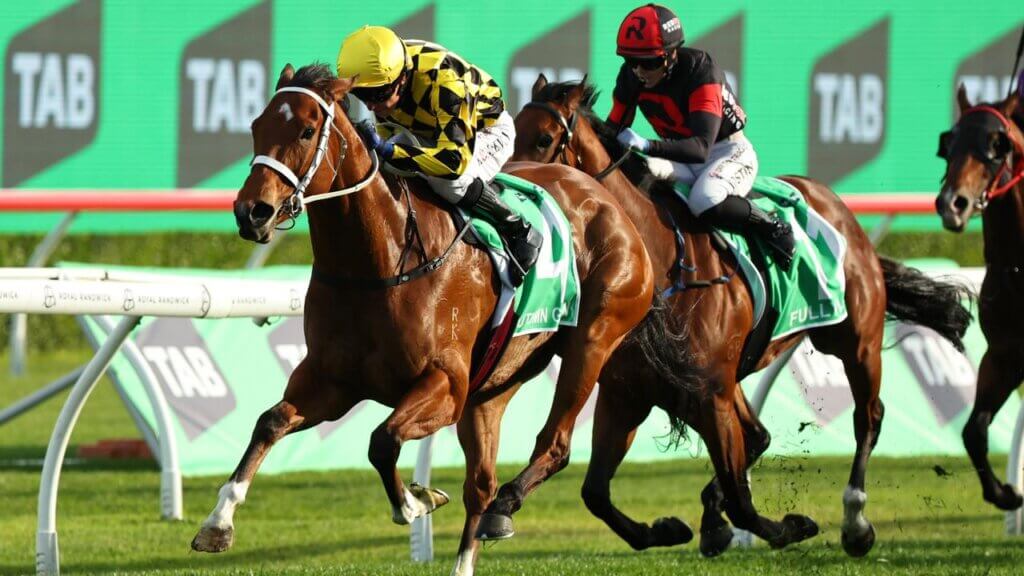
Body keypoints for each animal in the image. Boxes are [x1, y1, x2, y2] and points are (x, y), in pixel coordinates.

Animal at [187, 63, 695, 576]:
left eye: (308, 130)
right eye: (256, 126)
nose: (252, 212)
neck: (380, 260)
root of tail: (605, 198)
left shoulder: (445, 384)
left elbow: (382, 440)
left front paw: (417, 501)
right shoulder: (332, 380)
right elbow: (269, 422)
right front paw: (217, 523)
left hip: (592, 340)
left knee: (552, 446)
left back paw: (508, 508)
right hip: (495, 382)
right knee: (481, 484)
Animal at [510, 75, 972, 557]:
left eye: (544, 139)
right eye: (513, 127)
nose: (516, 186)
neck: (662, 265)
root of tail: (840, 208)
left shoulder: (710, 393)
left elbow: (741, 500)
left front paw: (789, 526)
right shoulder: (629, 393)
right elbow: (596, 493)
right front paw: (672, 528)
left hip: (854, 340)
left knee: (868, 417)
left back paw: (855, 522)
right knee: (759, 435)